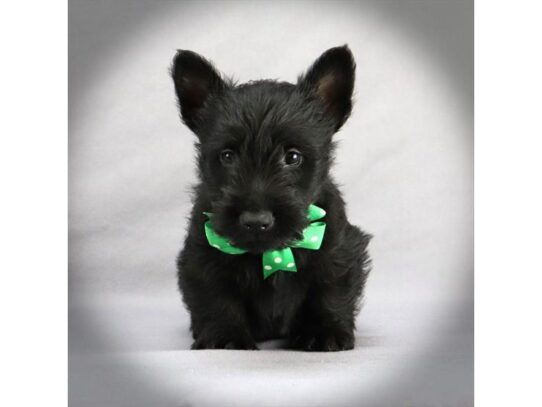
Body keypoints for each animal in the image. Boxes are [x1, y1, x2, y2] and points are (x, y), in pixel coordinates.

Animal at [172, 43, 372, 350]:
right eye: (227, 156)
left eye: (293, 157)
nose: (256, 221)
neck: (271, 252)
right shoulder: (202, 256)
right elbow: (215, 297)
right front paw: (224, 336)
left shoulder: (340, 250)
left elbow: (329, 289)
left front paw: (324, 331)